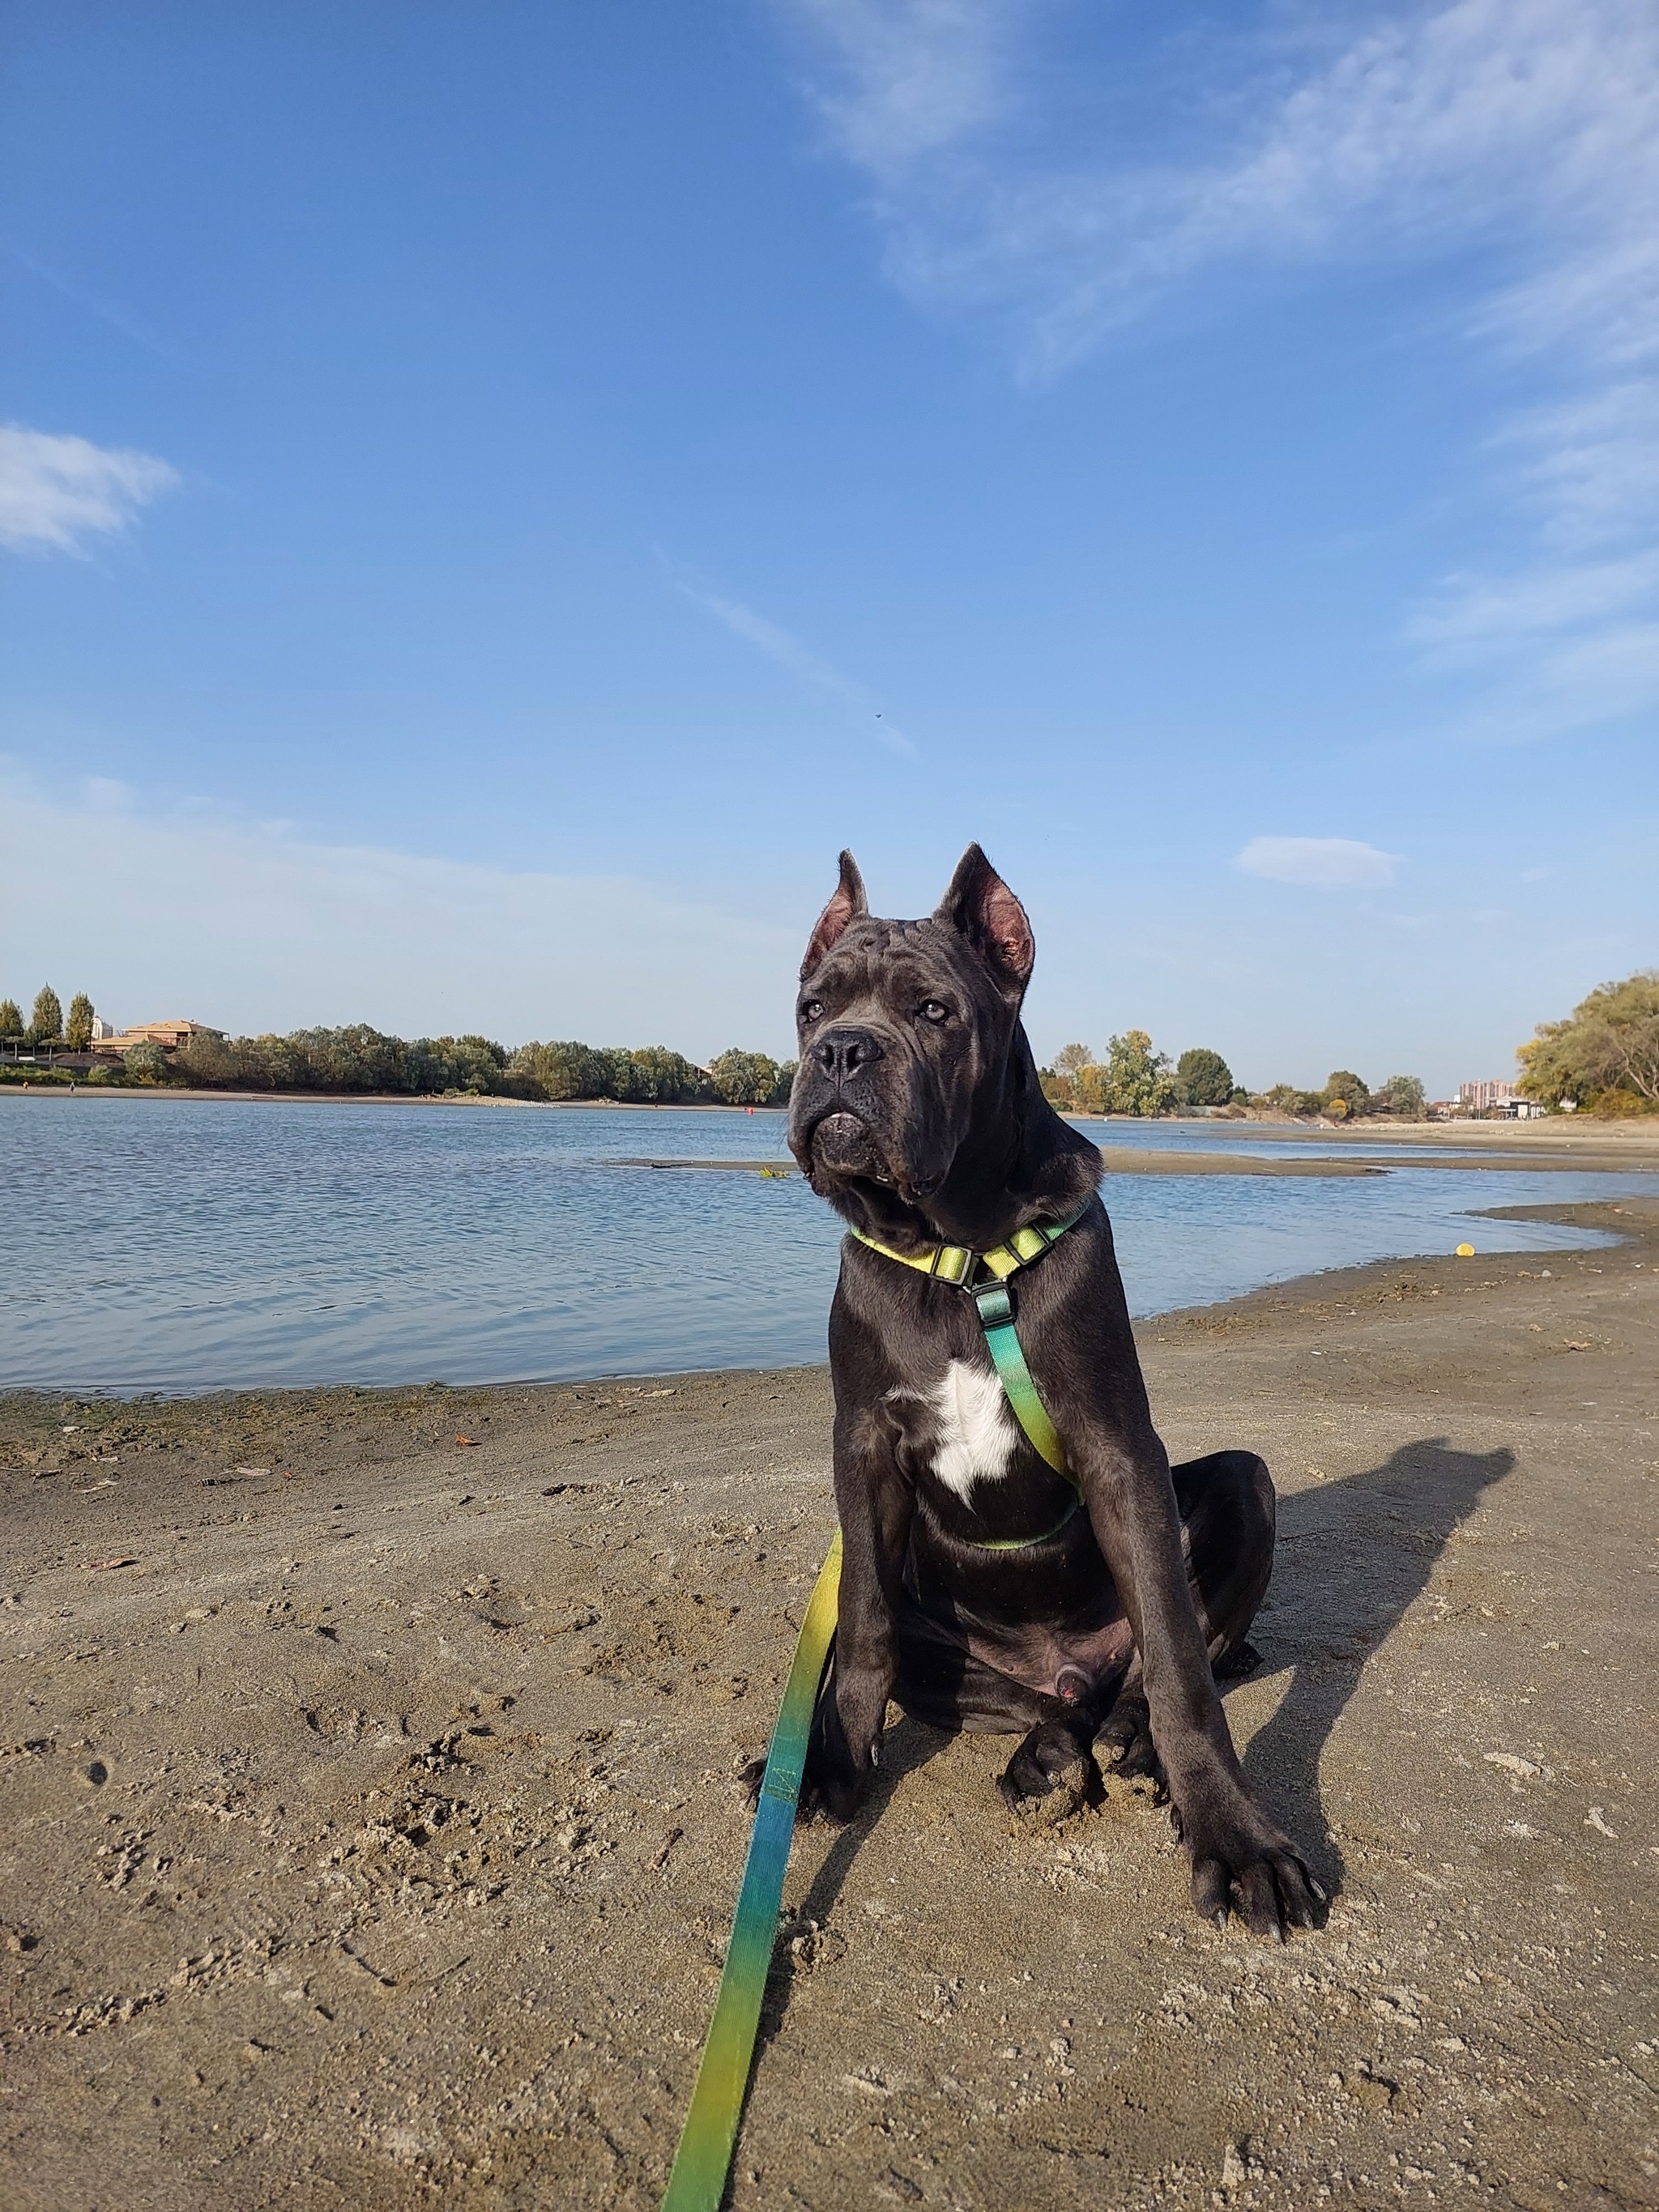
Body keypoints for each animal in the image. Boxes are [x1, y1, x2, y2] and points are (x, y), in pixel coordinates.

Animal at [787, 845, 1327, 1937]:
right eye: (810, 1007)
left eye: (934, 1011)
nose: (841, 1053)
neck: (956, 1248)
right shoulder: (861, 1447)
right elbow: (858, 1623)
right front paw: (829, 1763)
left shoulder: (1118, 1452)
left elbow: (1180, 1668)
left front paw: (1237, 1838)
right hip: (948, 1639)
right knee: (1042, 1698)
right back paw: (1047, 1756)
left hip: (1239, 1485)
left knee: (1153, 1666)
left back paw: (1125, 1742)